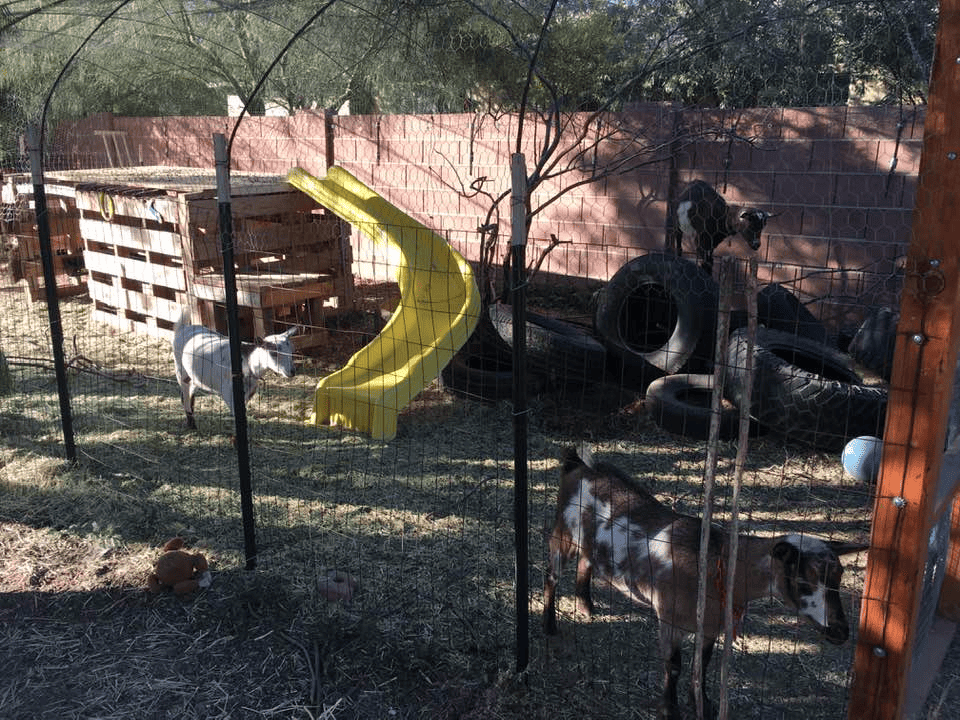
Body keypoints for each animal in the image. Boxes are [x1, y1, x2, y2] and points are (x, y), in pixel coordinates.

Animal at [543, 447, 865, 720]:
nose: (841, 631)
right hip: (562, 533)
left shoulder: (711, 625)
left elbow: (705, 662)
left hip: (588, 543)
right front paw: (669, 709)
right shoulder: (669, 618)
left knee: (586, 563)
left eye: (839, 579)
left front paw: (704, 704)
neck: (715, 565)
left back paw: (586, 606)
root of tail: (578, 464)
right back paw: (549, 625)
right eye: (802, 580)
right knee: (552, 576)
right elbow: (673, 665)